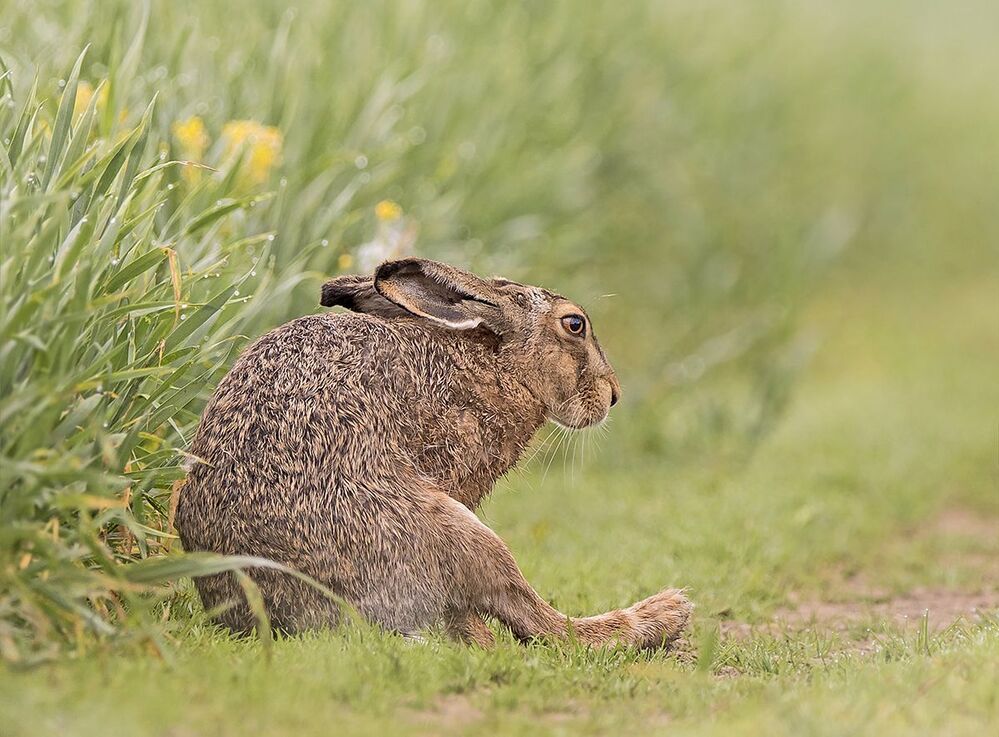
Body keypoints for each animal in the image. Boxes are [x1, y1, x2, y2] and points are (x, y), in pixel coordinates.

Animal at [176, 258, 691, 648]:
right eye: (574, 325)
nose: (613, 395)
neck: (495, 363)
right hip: (451, 526)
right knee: (539, 622)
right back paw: (664, 612)